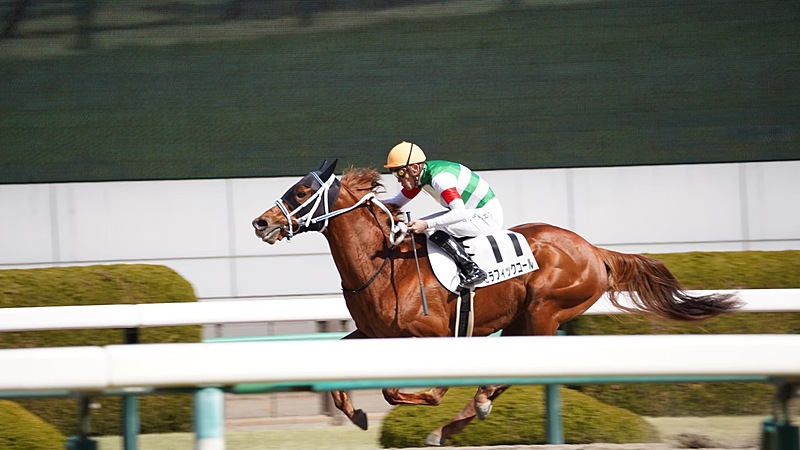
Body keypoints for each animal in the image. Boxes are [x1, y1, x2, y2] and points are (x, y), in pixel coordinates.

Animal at [253, 160, 740, 444]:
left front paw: (426, 399)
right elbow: (340, 370)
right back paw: (461, 417)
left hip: (544, 312)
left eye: (301, 192)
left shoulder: (435, 337)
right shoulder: (375, 334)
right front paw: (355, 414)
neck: (383, 262)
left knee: (517, 372)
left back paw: (470, 409)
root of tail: (593, 250)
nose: (261, 223)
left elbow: (405, 390)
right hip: (523, 320)